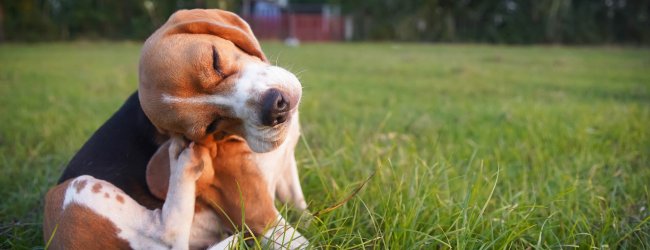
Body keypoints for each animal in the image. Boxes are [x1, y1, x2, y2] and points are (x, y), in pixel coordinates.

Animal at [45, 8, 308, 249]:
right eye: (211, 125)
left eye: (214, 60)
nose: (275, 109)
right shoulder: (261, 217)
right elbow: (302, 240)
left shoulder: (287, 169)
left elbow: (301, 206)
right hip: (74, 191)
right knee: (166, 235)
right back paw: (183, 163)